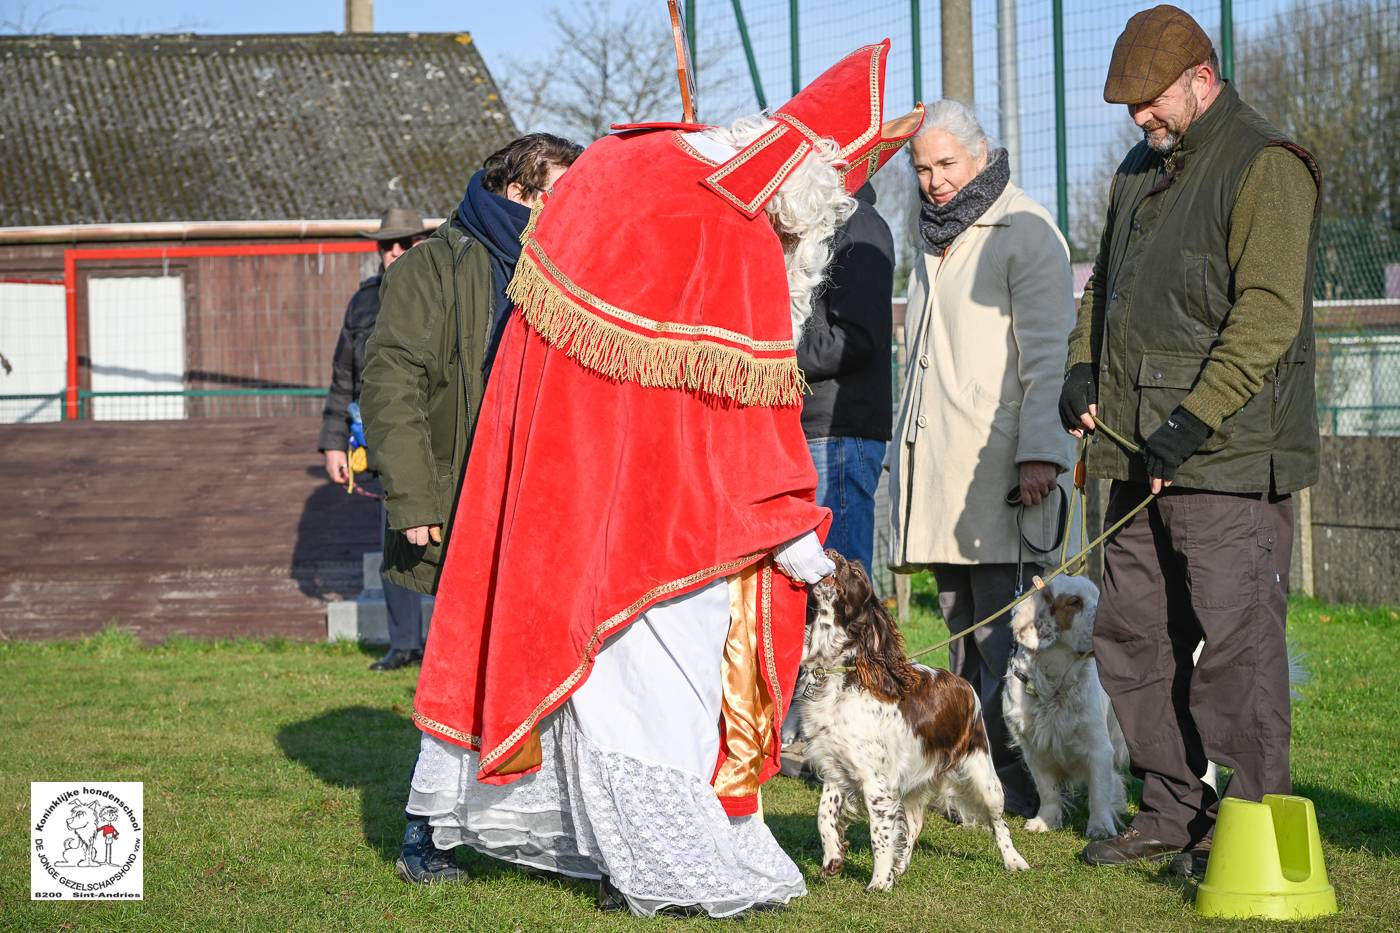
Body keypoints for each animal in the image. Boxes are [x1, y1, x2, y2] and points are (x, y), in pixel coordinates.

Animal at [800, 551, 1030, 885]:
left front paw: (879, 882)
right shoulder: (836, 769)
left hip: (984, 776)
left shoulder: (876, 782)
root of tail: (964, 684)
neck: (843, 675)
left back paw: (1014, 860)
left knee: (999, 822)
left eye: (856, 571)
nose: (831, 552)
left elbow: (879, 835)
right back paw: (901, 865)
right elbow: (824, 815)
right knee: (914, 824)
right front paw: (833, 857)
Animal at [1008, 574, 1125, 834]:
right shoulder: (1033, 749)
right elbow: (1047, 790)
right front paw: (1045, 821)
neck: (1054, 688)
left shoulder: (1099, 747)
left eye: (1099, 596)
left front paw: (1100, 829)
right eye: (1074, 602)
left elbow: (1099, 792)